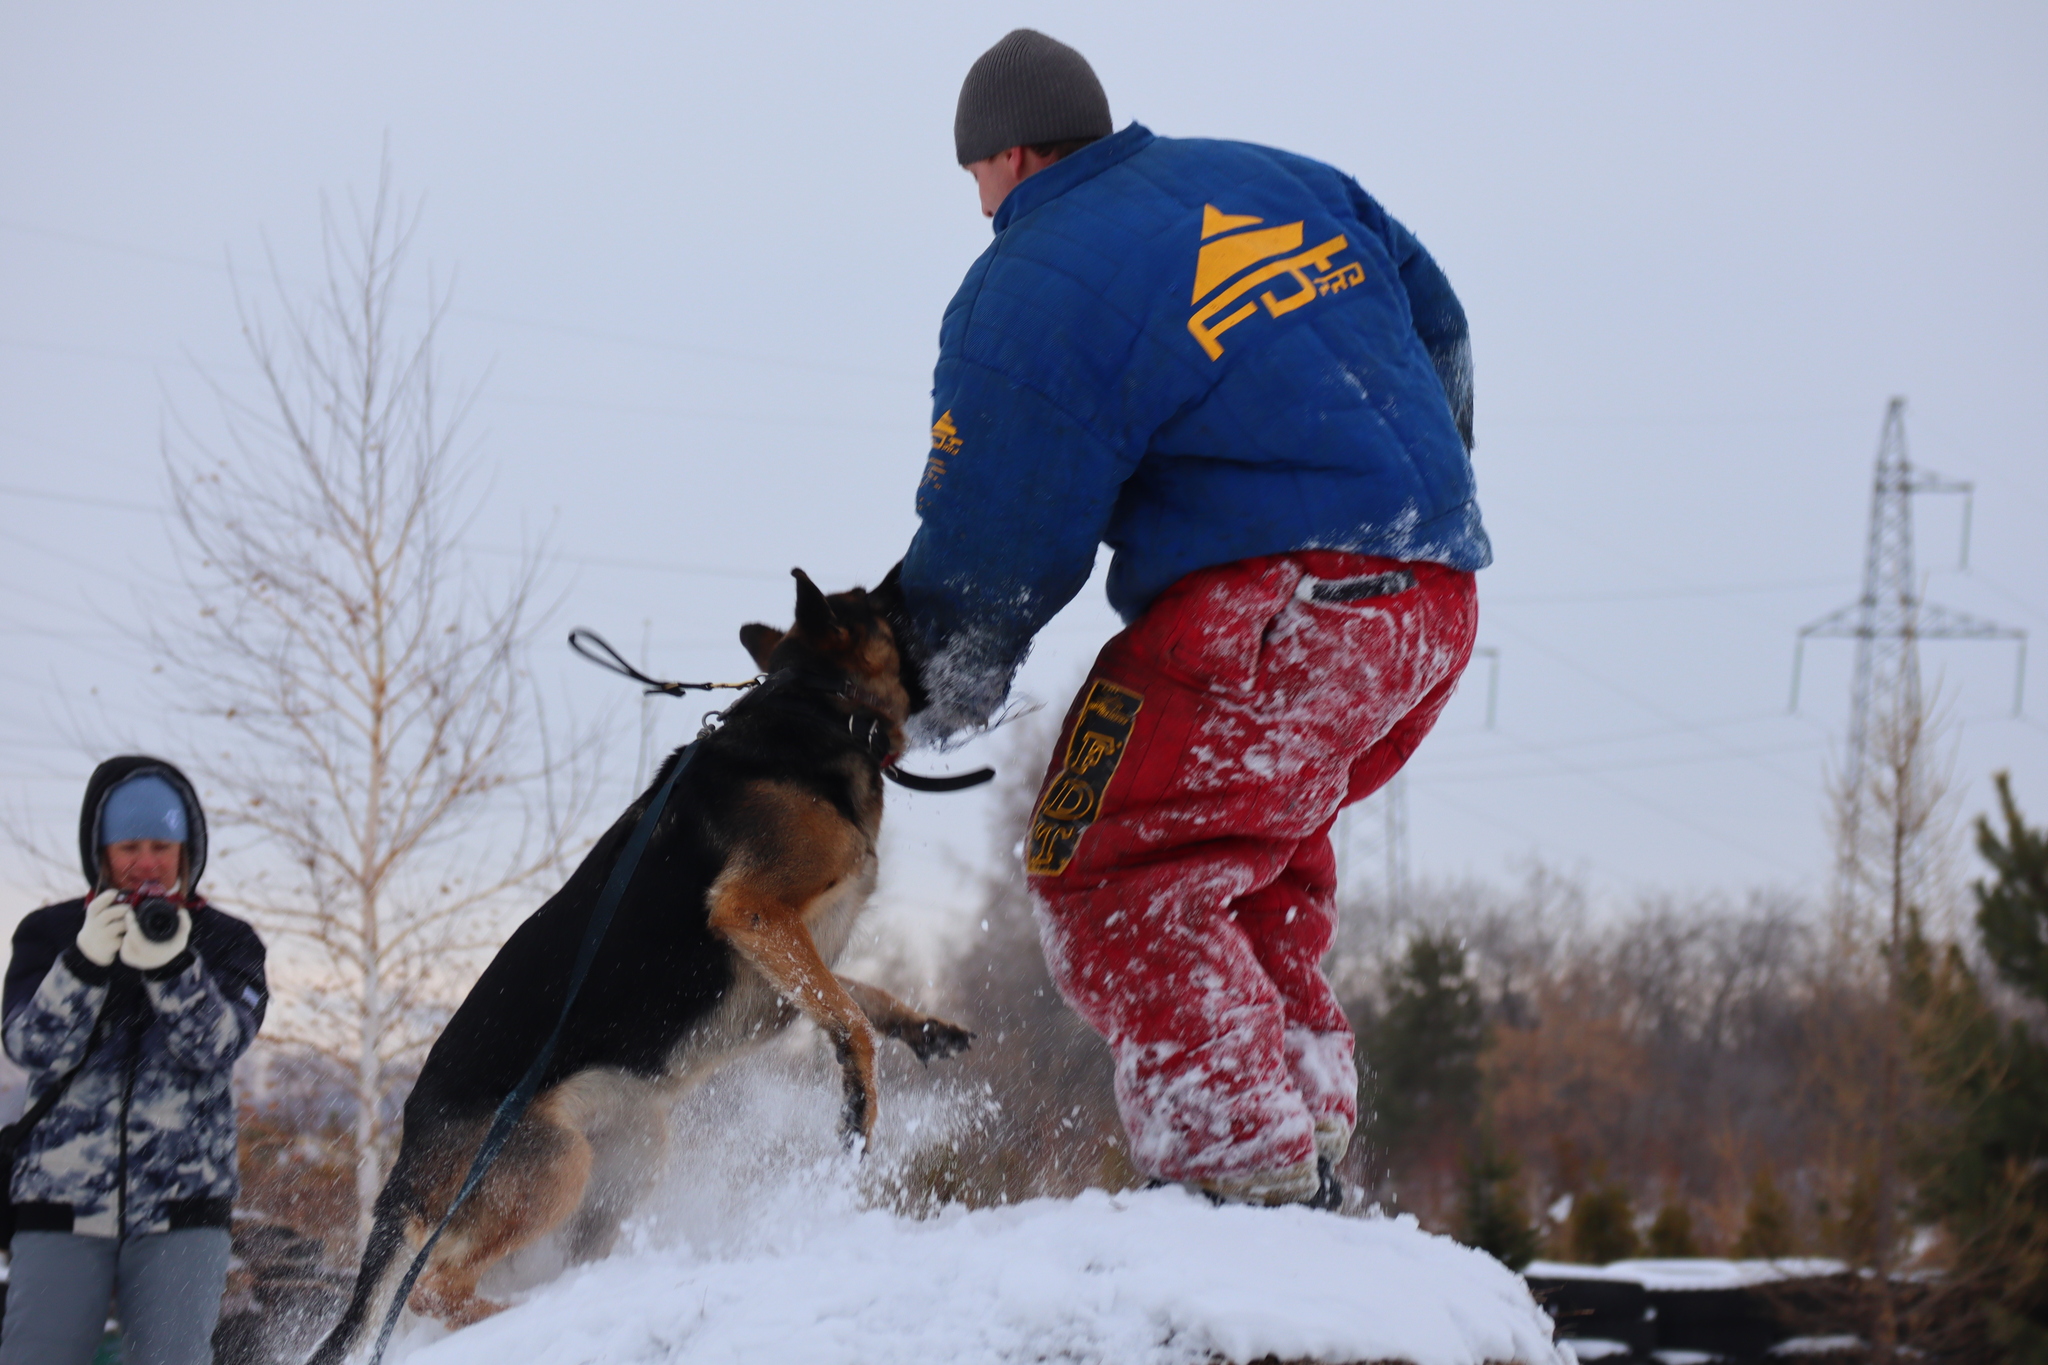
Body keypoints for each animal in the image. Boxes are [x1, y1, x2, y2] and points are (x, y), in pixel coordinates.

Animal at [307, 573, 970, 1358]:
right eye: (878, 599)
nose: (917, 578)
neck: (815, 703)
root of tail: (406, 1162)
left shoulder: (794, 951)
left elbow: (858, 995)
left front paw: (920, 1027)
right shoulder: (754, 912)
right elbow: (849, 1019)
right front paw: (857, 1103)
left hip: (629, 1158)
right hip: (557, 1164)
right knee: (436, 1287)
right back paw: (527, 1314)